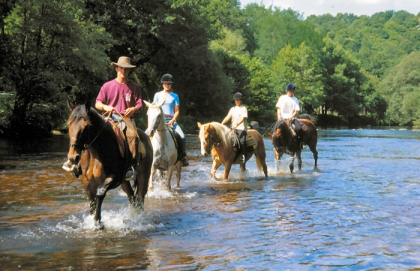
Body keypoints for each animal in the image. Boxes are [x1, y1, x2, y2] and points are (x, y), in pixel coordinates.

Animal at [67, 102, 154, 230]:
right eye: (69, 124)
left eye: (86, 126)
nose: (73, 157)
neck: (98, 152)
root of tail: (146, 137)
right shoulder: (88, 182)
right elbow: (92, 201)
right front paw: (92, 220)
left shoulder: (114, 179)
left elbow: (100, 193)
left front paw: (97, 222)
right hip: (124, 182)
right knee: (131, 197)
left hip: (143, 176)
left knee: (140, 198)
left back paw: (137, 219)